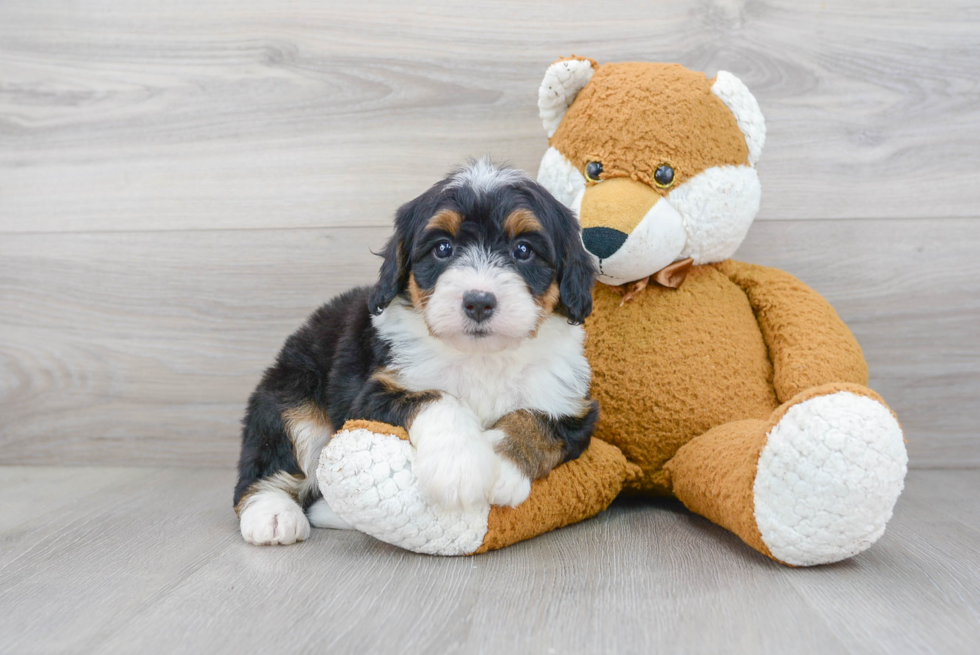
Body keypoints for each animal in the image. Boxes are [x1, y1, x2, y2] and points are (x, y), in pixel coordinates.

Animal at [234, 160, 596, 548]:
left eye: (524, 250)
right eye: (443, 248)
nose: (478, 302)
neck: (481, 356)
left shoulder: (572, 405)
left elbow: (535, 420)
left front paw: (501, 465)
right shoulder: (371, 394)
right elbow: (437, 397)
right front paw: (461, 466)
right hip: (294, 394)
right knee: (273, 459)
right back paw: (272, 515)